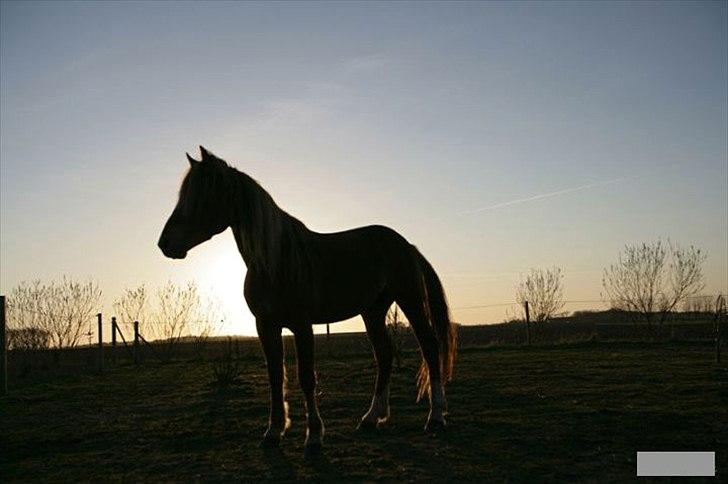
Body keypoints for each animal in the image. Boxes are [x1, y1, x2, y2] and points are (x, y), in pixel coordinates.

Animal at [158, 147, 456, 458]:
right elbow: (275, 377)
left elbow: (306, 377)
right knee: (384, 354)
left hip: (410, 300)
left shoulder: (302, 326)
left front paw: (313, 437)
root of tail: (406, 244)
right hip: (373, 311)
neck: (275, 261)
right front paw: (273, 433)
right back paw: (371, 418)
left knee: (429, 347)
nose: (165, 243)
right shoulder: (266, 326)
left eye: (204, 194)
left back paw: (435, 417)